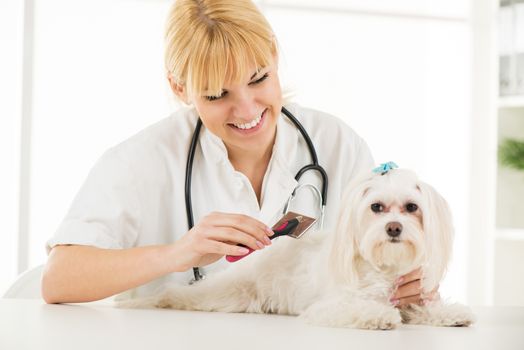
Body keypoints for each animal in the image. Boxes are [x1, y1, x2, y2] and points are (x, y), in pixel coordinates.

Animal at [118, 165, 474, 330]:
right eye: (376, 207)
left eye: (412, 207)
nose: (394, 228)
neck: (384, 268)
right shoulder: (330, 306)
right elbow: (361, 309)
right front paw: (379, 316)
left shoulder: (410, 294)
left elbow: (421, 307)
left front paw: (449, 313)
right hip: (223, 295)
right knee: (175, 294)